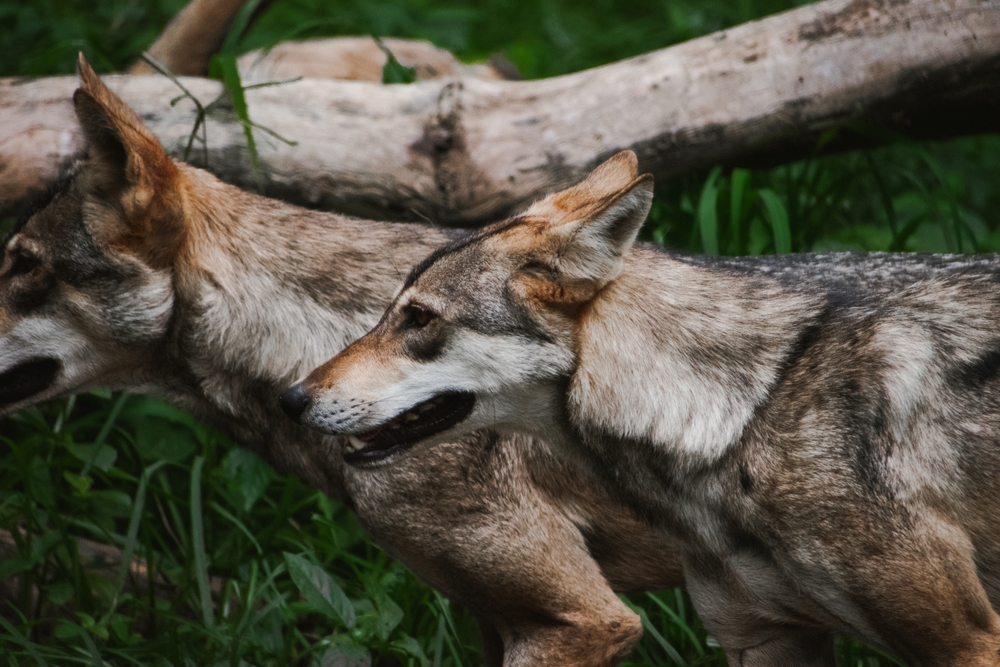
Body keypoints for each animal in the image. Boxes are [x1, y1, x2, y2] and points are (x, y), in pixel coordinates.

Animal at [292, 149, 1000, 666]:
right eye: (394, 312)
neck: (740, 414)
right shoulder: (764, 638)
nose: (293, 397)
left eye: (417, 319)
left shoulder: (968, 644)